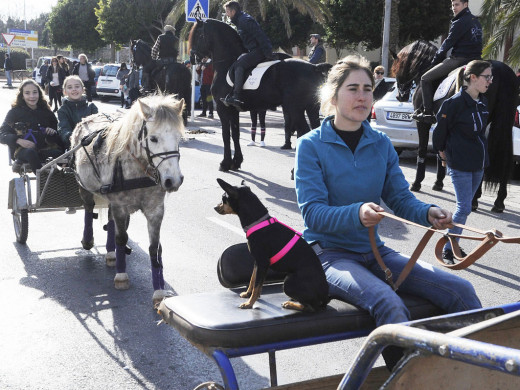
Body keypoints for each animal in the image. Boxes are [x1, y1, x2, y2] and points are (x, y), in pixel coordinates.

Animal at [189, 17, 332, 171]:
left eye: (199, 35)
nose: (191, 58)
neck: (227, 63)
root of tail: (314, 67)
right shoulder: (233, 110)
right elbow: (235, 134)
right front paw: (236, 162)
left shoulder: (223, 108)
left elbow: (226, 135)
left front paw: (225, 163)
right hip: (311, 108)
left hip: (295, 109)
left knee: (304, 131)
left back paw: (296, 170)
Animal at [392, 40, 516, 212]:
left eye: (396, 67)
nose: (400, 96)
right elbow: (440, 151)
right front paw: (438, 183)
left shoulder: (422, 123)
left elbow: (423, 149)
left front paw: (417, 183)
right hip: (503, 124)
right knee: (504, 159)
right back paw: (498, 201)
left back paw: (474, 200)